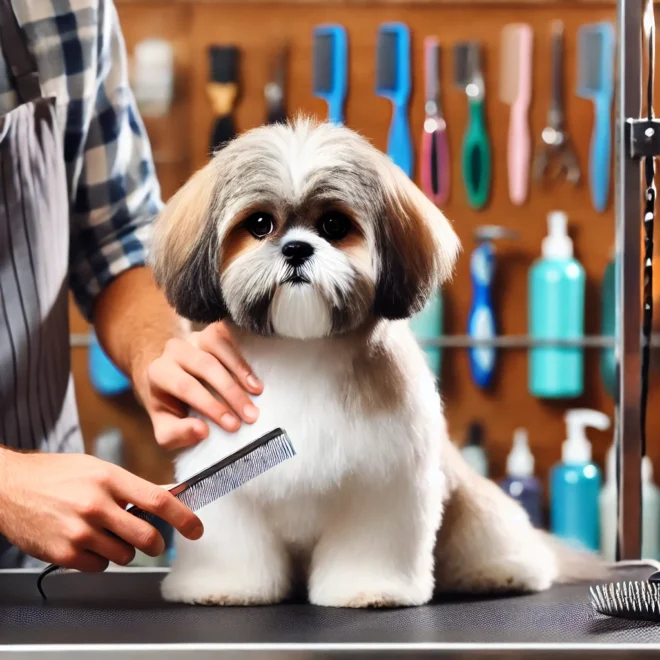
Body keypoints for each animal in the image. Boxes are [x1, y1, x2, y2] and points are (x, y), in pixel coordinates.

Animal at [151, 116, 604, 604]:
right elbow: (233, 545)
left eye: (334, 224)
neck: (300, 348)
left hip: (474, 510)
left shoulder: (384, 482)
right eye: (259, 224)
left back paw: (504, 571)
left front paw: (369, 589)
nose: (296, 249)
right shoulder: (228, 485)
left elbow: (369, 545)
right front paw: (221, 586)